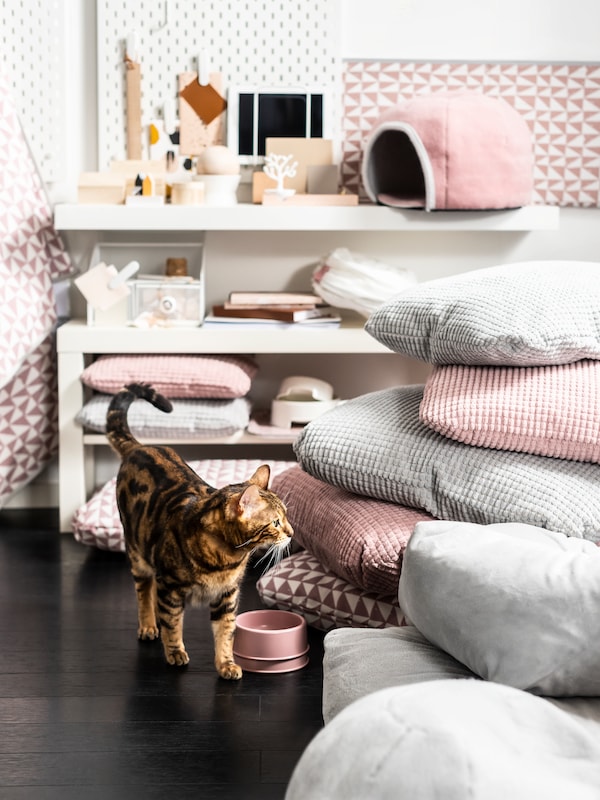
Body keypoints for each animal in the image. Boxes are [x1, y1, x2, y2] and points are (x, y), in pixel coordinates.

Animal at [108, 380, 296, 676]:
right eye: (276, 522)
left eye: (286, 517)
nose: (292, 533)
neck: (228, 558)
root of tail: (140, 447)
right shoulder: (171, 587)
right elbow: (174, 624)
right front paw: (175, 652)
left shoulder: (227, 595)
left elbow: (225, 632)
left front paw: (226, 664)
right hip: (138, 552)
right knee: (144, 591)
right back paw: (149, 625)